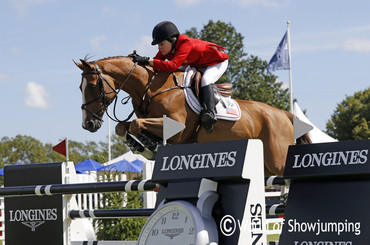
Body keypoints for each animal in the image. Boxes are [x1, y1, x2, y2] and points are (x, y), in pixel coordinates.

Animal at [73, 56, 310, 175]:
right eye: (80, 87)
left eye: (92, 86)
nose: (88, 124)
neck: (151, 86)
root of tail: (283, 115)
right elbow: (123, 126)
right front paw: (141, 146)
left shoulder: (178, 129)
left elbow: (135, 124)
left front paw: (151, 146)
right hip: (266, 167)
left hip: (277, 161)